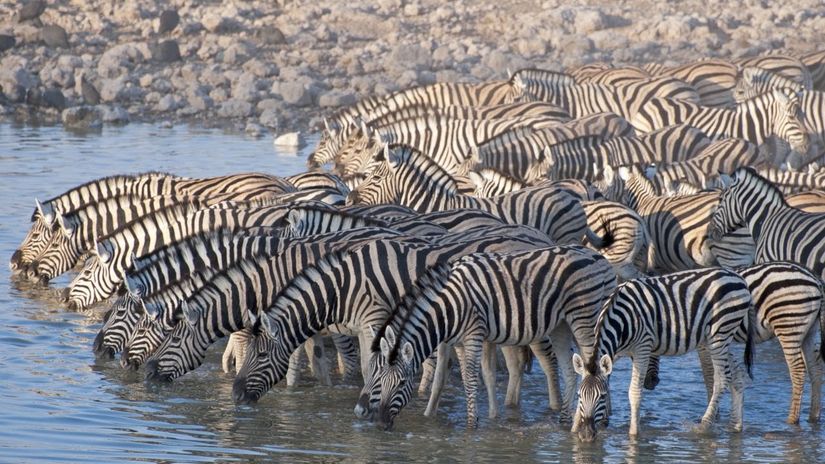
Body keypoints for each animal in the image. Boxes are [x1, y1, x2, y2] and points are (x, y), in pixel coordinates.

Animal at [364, 245, 616, 430]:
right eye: (378, 378)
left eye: (402, 383)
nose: (381, 424)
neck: (447, 308)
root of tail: (597, 257)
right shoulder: (453, 341)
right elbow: (445, 380)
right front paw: (430, 415)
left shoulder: (473, 335)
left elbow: (471, 378)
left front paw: (471, 424)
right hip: (560, 326)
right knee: (569, 370)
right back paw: (566, 420)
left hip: (584, 318)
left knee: (595, 367)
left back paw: (593, 421)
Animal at [572, 266, 752, 440]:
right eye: (579, 396)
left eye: (602, 397)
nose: (586, 435)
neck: (622, 319)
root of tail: (739, 278)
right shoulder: (614, 353)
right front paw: (573, 430)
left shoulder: (642, 347)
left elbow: (634, 392)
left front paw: (634, 434)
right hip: (720, 339)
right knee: (738, 375)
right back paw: (736, 426)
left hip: (719, 334)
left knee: (722, 379)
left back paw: (704, 425)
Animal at [644, 260, 824, 424]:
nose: (650, 384)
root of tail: (815, 279)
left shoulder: (703, 342)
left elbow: (709, 374)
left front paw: (714, 413)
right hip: (808, 331)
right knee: (815, 368)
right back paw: (813, 417)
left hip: (788, 324)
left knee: (798, 370)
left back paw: (791, 419)